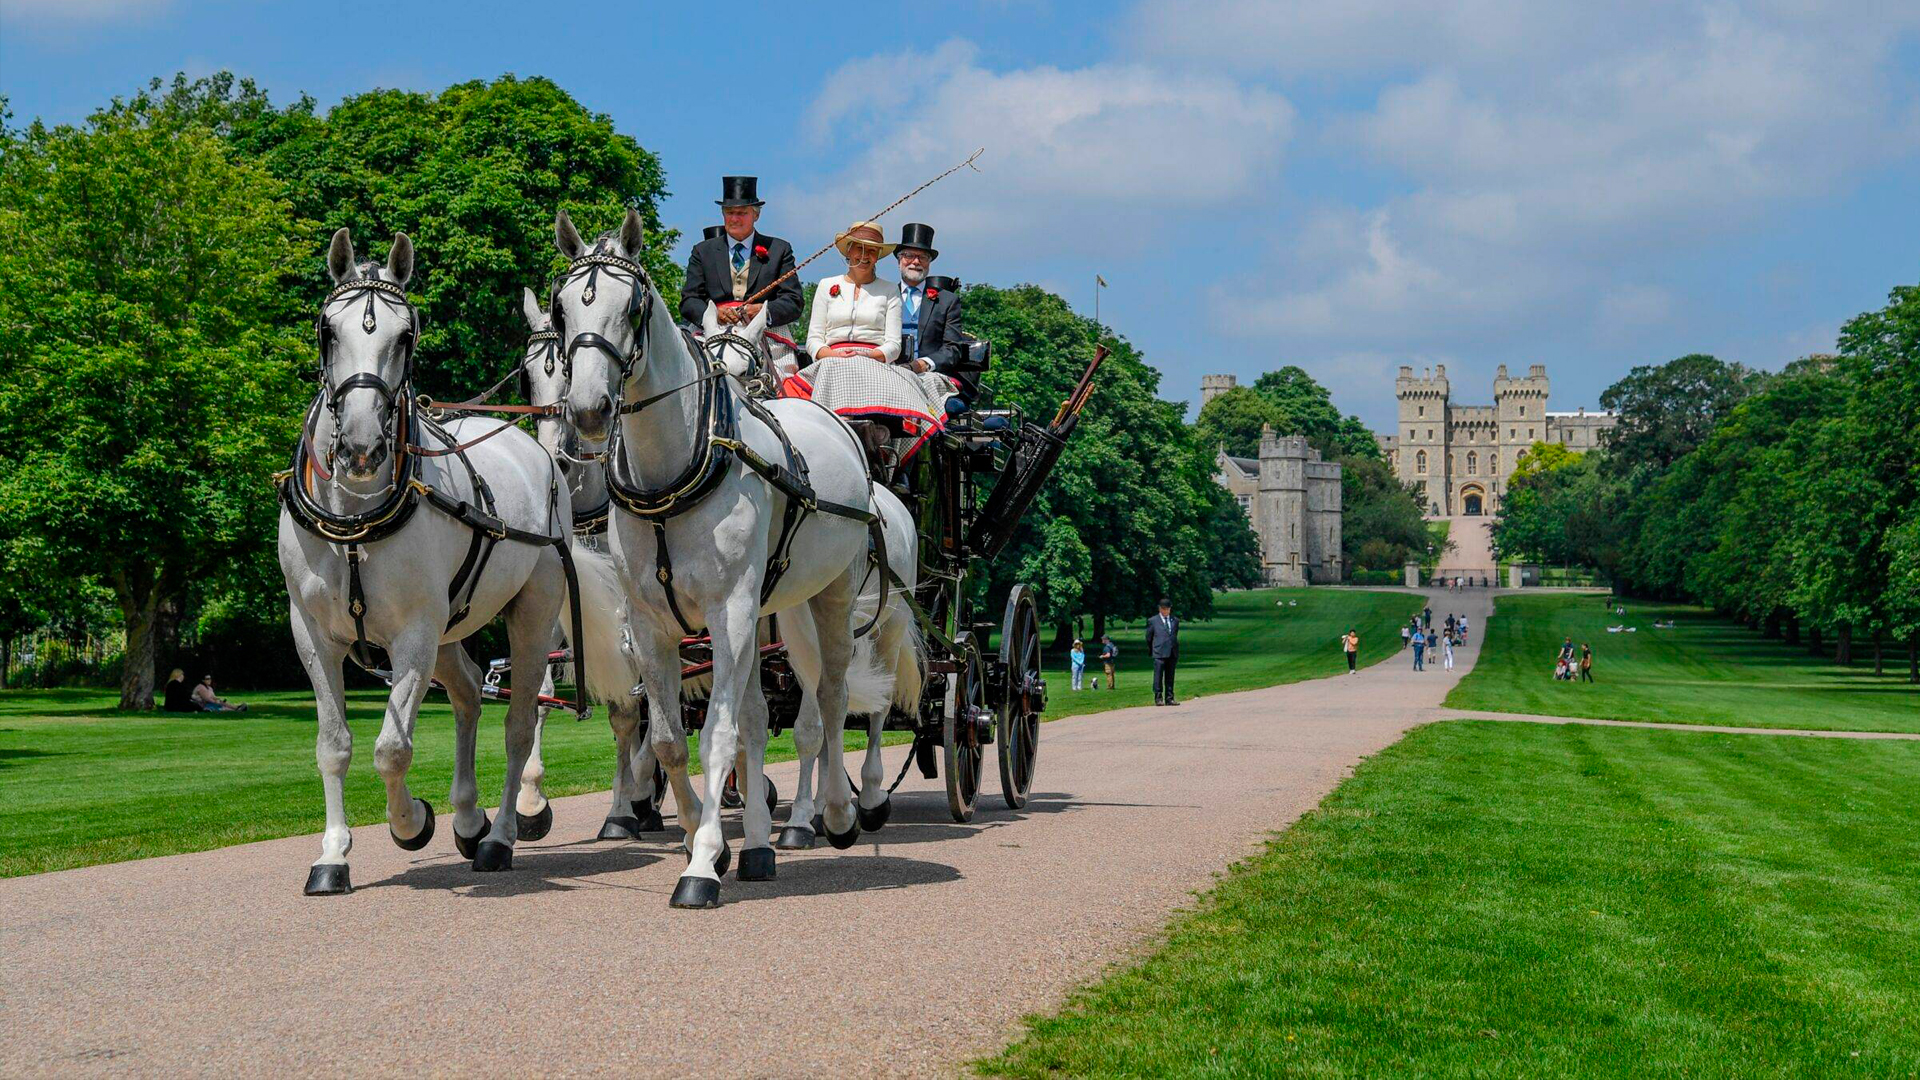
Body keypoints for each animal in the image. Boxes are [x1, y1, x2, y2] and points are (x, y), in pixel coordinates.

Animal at [278, 228, 572, 891]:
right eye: (326, 330)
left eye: (405, 334)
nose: (361, 448)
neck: (355, 515)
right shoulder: (312, 634)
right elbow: (333, 744)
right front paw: (332, 855)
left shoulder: (413, 632)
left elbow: (392, 748)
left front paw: (411, 822)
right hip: (450, 626)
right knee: (467, 693)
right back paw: (468, 818)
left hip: (532, 611)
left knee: (519, 725)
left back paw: (502, 833)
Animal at [552, 205, 917, 903]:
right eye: (561, 308)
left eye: (632, 305)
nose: (587, 410)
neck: (673, 476)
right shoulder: (653, 626)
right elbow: (671, 740)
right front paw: (707, 838)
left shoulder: (729, 612)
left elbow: (719, 734)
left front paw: (701, 864)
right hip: (774, 612)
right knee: (762, 713)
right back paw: (760, 848)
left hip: (832, 604)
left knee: (834, 700)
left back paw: (840, 811)